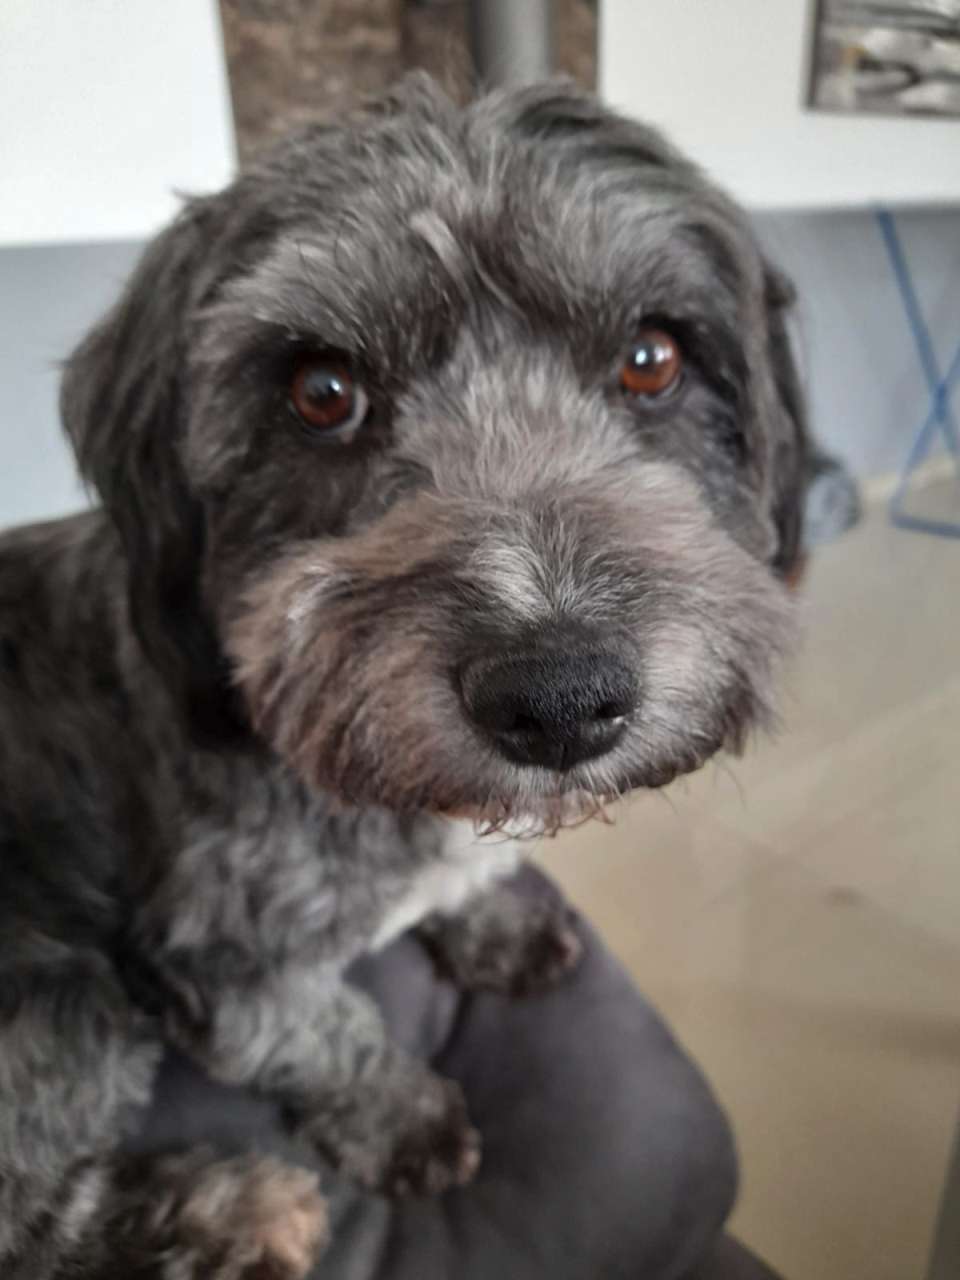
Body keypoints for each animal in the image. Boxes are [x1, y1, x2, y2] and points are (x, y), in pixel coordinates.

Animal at [0, 76, 806, 1278]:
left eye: (652, 358)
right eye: (321, 390)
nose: (559, 698)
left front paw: (490, 919)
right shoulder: (218, 946)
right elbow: (314, 1030)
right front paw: (400, 1113)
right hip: (57, 988)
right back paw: (225, 1212)